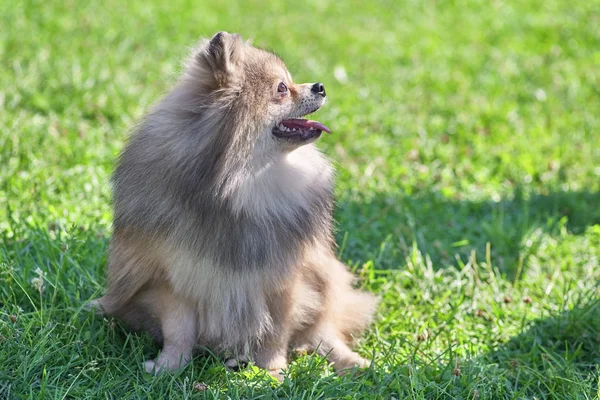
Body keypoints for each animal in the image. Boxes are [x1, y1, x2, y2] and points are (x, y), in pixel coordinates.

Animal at [90, 31, 376, 378]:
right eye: (282, 88)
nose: (320, 86)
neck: (238, 184)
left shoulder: (285, 280)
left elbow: (276, 332)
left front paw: (272, 372)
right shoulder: (172, 277)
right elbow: (178, 328)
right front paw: (169, 366)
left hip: (325, 278)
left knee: (323, 332)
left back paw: (353, 362)